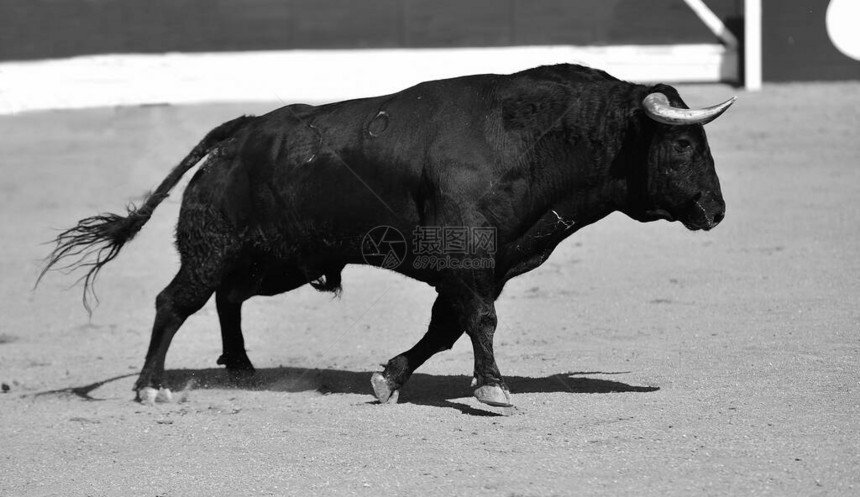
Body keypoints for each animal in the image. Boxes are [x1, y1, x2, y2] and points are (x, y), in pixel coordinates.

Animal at [38, 64, 732, 404]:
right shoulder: (469, 254)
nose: (716, 210)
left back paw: (242, 368)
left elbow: (447, 327)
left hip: (277, 261)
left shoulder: (489, 264)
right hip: (214, 248)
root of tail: (238, 134)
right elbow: (478, 320)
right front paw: (493, 387)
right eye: (681, 143)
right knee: (175, 301)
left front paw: (389, 378)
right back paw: (151, 386)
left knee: (229, 298)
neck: (538, 137)